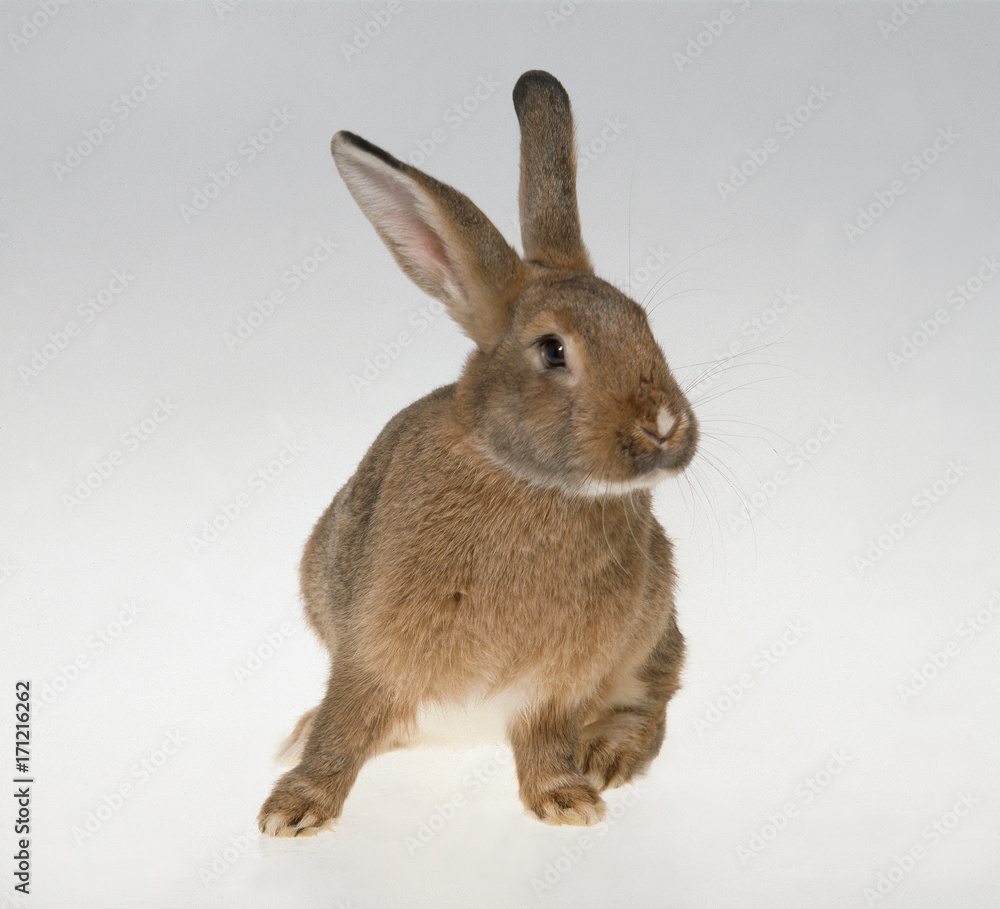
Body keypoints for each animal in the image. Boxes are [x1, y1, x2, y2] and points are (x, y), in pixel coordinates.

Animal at [258, 70, 697, 836]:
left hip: (653, 622)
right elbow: (343, 723)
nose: (665, 424)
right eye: (553, 351)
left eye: (643, 323)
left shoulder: (558, 682)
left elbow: (546, 738)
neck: (526, 479)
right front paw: (293, 811)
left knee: (655, 688)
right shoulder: (371, 649)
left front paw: (568, 801)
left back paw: (607, 755)